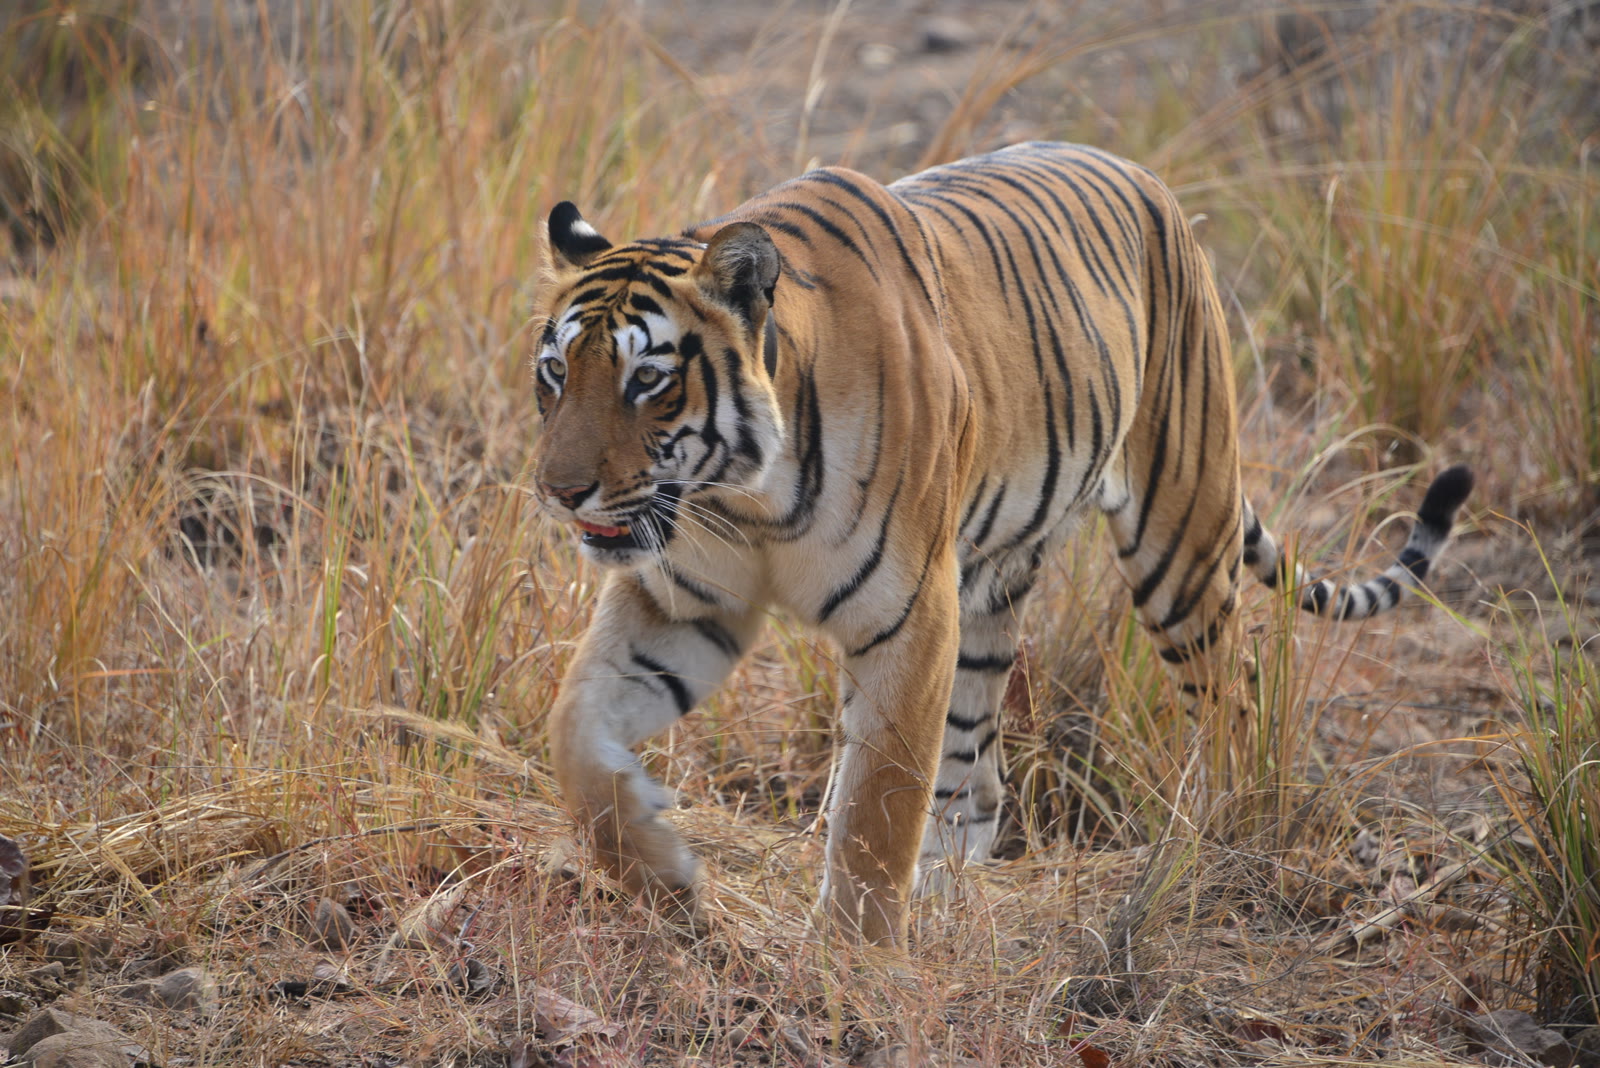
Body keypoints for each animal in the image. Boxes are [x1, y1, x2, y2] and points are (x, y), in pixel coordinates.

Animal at [530, 141, 1472, 948]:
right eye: (556, 373)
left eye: (648, 379)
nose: (558, 490)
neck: (743, 498)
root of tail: (1147, 178)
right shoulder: (685, 601)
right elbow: (576, 730)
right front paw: (664, 876)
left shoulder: (907, 617)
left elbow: (878, 803)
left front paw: (851, 963)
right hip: (990, 589)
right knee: (978, 780)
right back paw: (949, 897)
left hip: (1181, 534)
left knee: (1229, 701)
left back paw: (1221, 853)